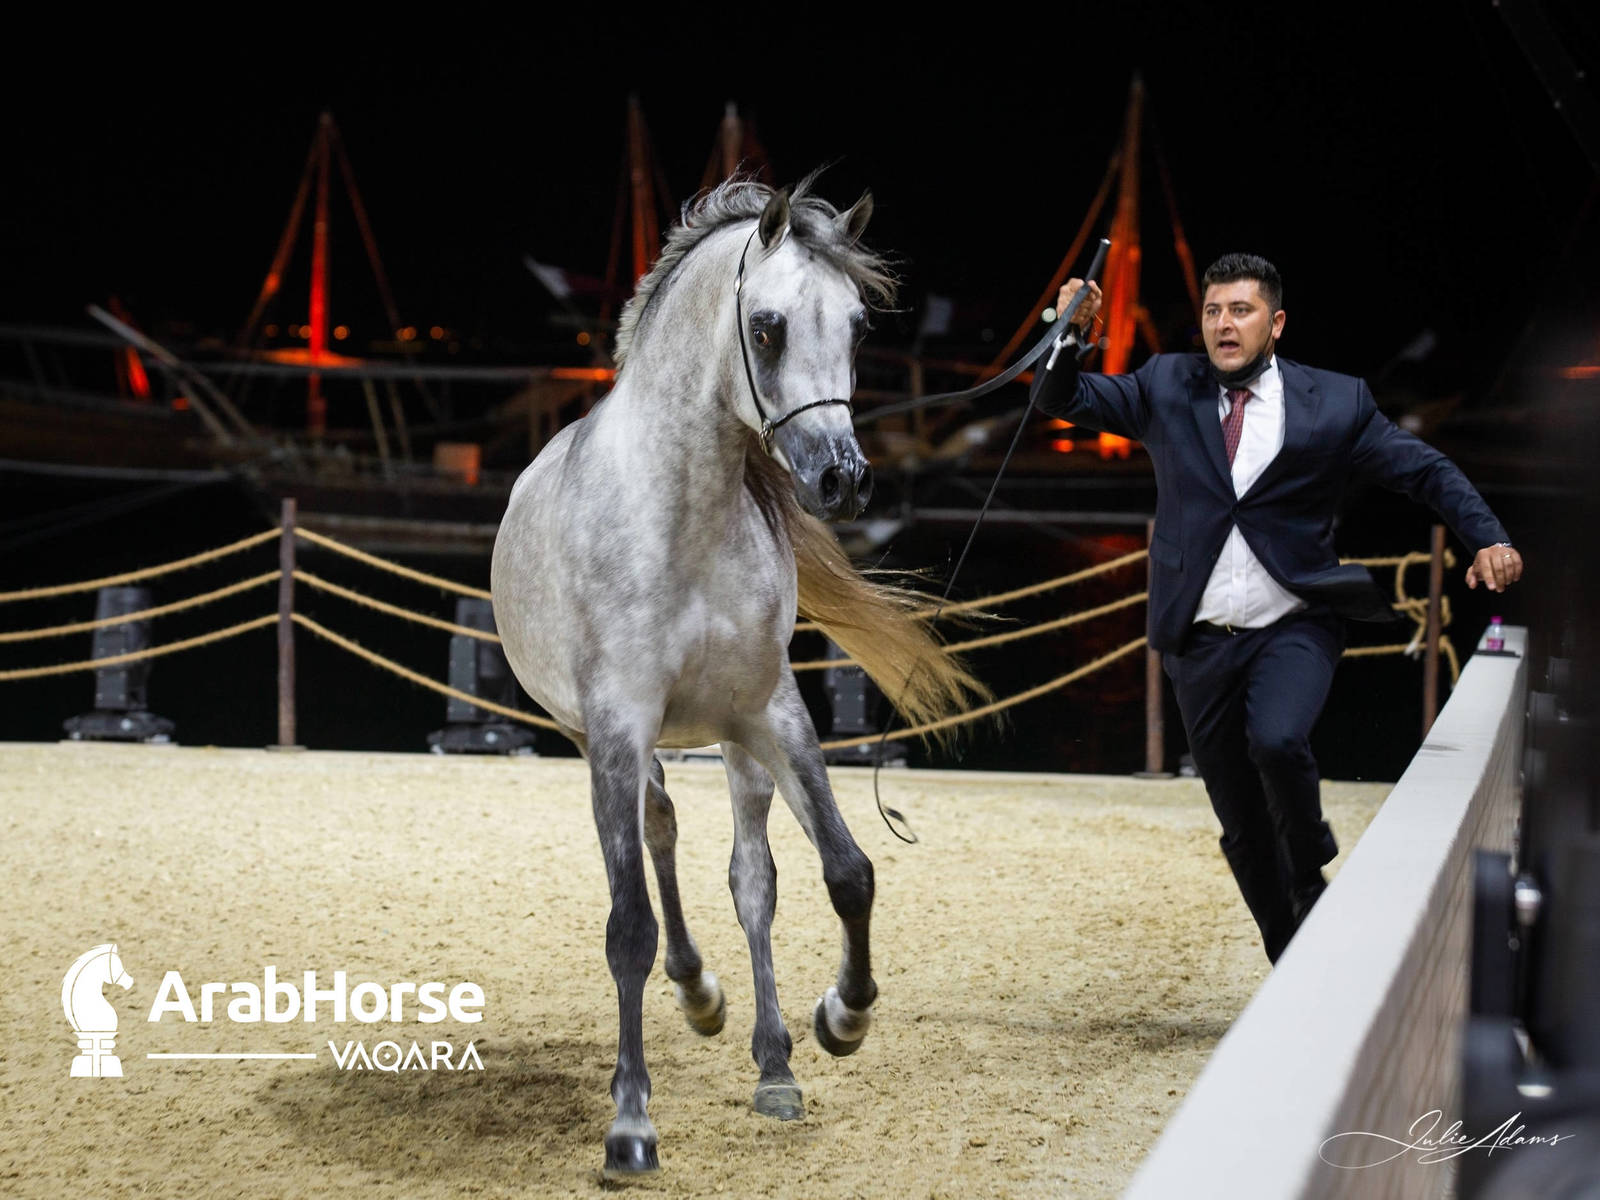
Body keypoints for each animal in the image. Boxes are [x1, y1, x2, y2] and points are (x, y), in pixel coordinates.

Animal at [491, 176, 979, 1175]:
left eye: (859, 327)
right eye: (767, 326)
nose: (842, 480)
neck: (679, 516)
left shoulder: (772, 713)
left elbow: (846, 872)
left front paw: (842, 1018)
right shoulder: (617, 727)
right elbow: (628, 925)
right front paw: (630, 1124)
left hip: (734, 744)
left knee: (750, 878)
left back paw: (770, 1058)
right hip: (610, 745)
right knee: (659, 838)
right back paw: (696, 992)